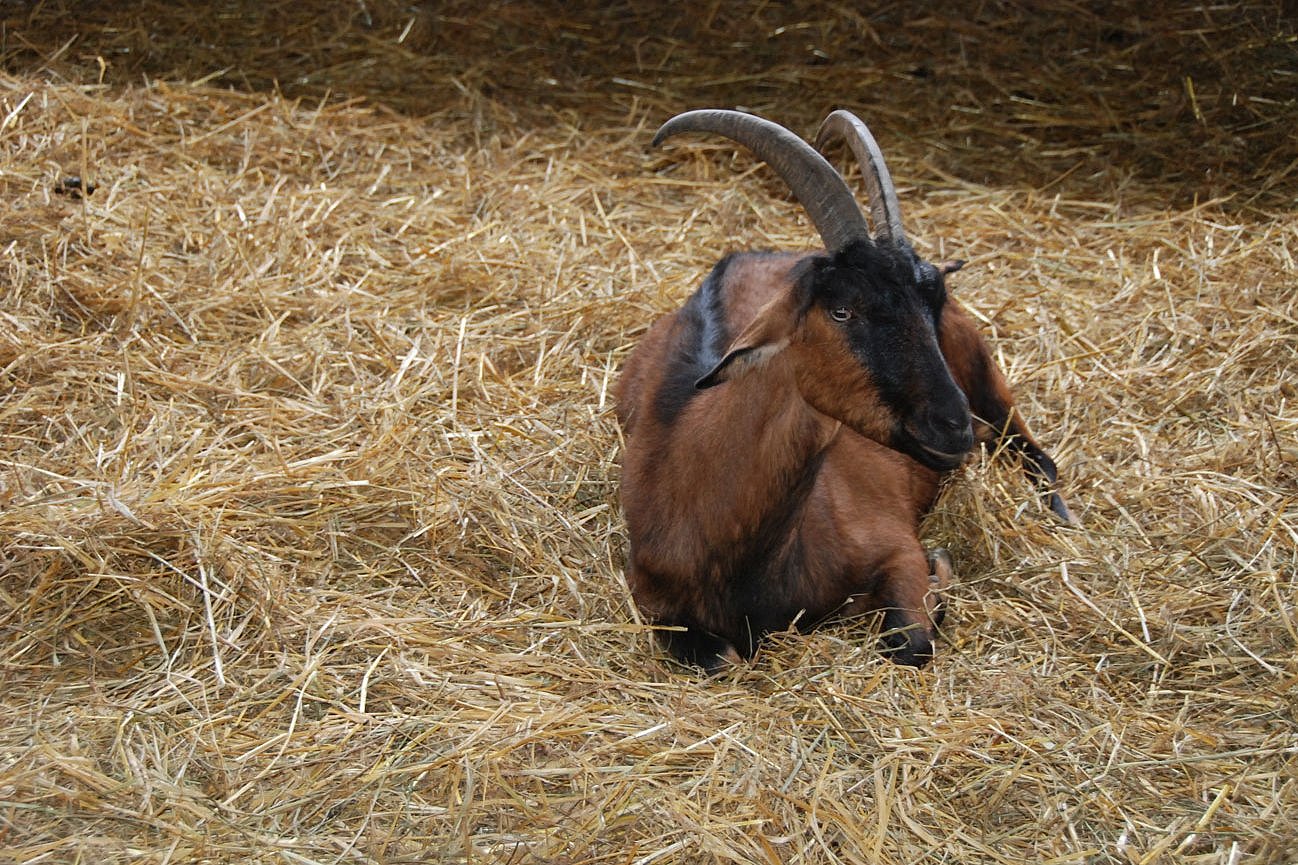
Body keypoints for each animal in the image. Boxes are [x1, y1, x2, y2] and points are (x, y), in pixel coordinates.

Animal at [617, 109, 1074, 675]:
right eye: (841, 311)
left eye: (931, 301)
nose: (952, 425)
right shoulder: (655, 601)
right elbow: (723, 660)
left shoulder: (895, 545)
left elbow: (912, 642)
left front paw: (940, 576)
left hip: (979, 366)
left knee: (1032, 449)